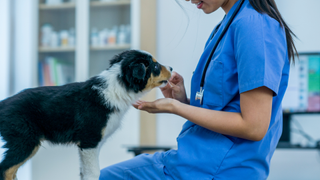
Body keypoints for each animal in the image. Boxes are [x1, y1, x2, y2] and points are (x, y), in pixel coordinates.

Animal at [0, 50, 172, 180]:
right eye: (155, 66)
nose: (171, 68)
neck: (117, 86)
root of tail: (4, 103)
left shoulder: (92, 145)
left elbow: (85, 172)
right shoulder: (89, 140)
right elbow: (94, 172)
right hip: (25, 140)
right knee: (6, 169)